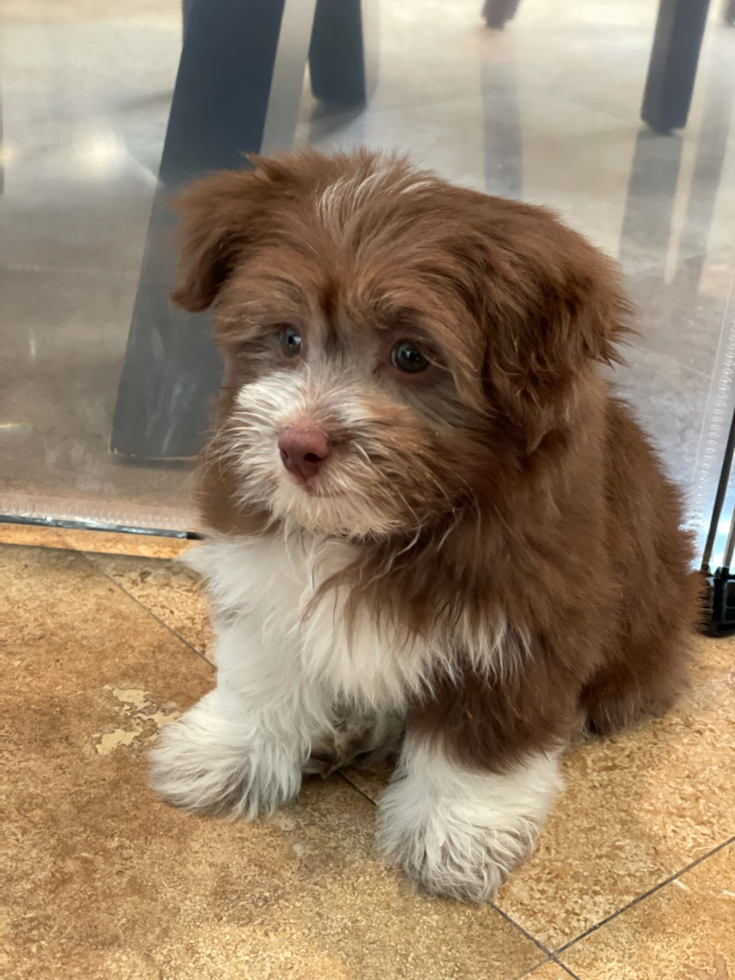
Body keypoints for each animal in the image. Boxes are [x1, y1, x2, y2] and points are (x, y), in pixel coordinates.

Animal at [151, 147, 700, 904]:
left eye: (411, 355)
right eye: (288, 338)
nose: (297, 446)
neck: (394, 522)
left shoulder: (520, 625)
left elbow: (479, 747)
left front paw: (454, 836)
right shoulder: (262, 571)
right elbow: (261, 671)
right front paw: (228, 753)